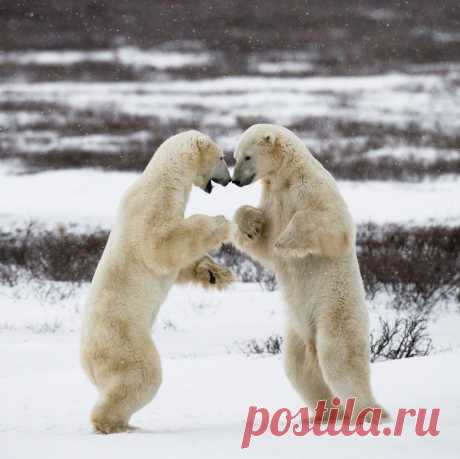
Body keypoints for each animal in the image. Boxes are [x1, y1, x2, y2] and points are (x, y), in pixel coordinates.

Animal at [79, 130, 235, 434]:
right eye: (222, 157)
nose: (230, 179)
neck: (165, 179)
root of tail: (86, 361)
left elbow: (181, 263)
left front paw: (217, 274)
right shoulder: (152, 208)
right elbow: (162, 245)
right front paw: (222, 222)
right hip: (124, 341)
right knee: (142, 376)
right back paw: (116, 425)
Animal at [232, 125, 386, 420]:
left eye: (247, 157)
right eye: (234, 157)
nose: (235, 180)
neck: (285, 177)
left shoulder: (311, 188)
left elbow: (333, 224)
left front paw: (287, 242)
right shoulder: (273, 198)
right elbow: (263, 244)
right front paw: (251, 224)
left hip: (334, 308)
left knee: (339, 357)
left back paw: (369, 411)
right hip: (296, 329)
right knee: (299, 368)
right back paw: (328, 413)